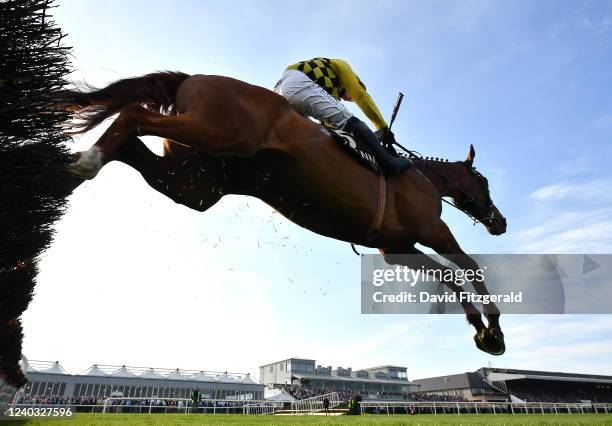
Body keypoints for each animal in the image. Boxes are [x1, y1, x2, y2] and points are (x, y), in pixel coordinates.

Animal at [61, 71, 506, 354]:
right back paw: (84, 162)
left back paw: (76, 167)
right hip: (224, 135)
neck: (424, 178)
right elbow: (467, 267)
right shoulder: (432, 228)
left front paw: (480, 331)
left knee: (131, 143)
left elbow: (448, 275)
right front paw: (494, 330)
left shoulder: (397, 249)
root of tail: (192, 76)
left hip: (196, 183)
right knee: (134, 115)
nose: (499, 222)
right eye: (484, 182)